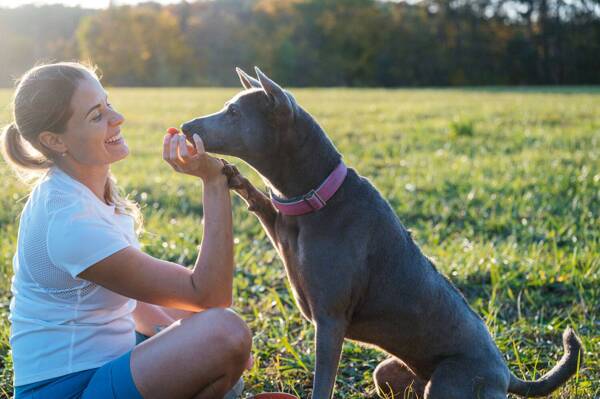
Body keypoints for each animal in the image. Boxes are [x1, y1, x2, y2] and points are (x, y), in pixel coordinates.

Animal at [180, 67, 584, 398]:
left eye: (234, 113)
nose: (185, 126)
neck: (317, 195)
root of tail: (506, 373)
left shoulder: (330, 319)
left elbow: (323, 383)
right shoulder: (283, 228)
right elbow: (262, 204)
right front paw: (232, 176)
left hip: (451, 381)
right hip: (389, 372)